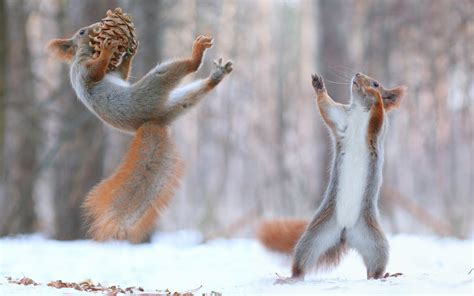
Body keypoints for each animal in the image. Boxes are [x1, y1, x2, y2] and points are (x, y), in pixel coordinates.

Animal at [47, 21, 232, 243]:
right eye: (82, 32)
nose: (97, 26)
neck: (86, 53)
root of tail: (152, 121)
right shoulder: (83, 70)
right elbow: (96, 73)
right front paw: (108, 50)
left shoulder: (114, 74)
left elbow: (122, 74)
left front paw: (128, 54)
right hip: (152, 87)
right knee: (185, 68)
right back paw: (197, 55)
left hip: (176, 103)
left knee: (193, 94)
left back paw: (216, 76)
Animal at [258, 72, 406, 280]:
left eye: (377, 83)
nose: (357, 75)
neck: (360, 110)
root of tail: (345, 232)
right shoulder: (341, 118)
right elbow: (326, 107)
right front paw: (318, 85)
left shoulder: (378, 129)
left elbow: (377, 116)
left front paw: (375, 95)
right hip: (315, 236)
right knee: (302, 262)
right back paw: (290, 278)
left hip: (375, 242)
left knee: (374, 268)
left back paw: (384, 276)